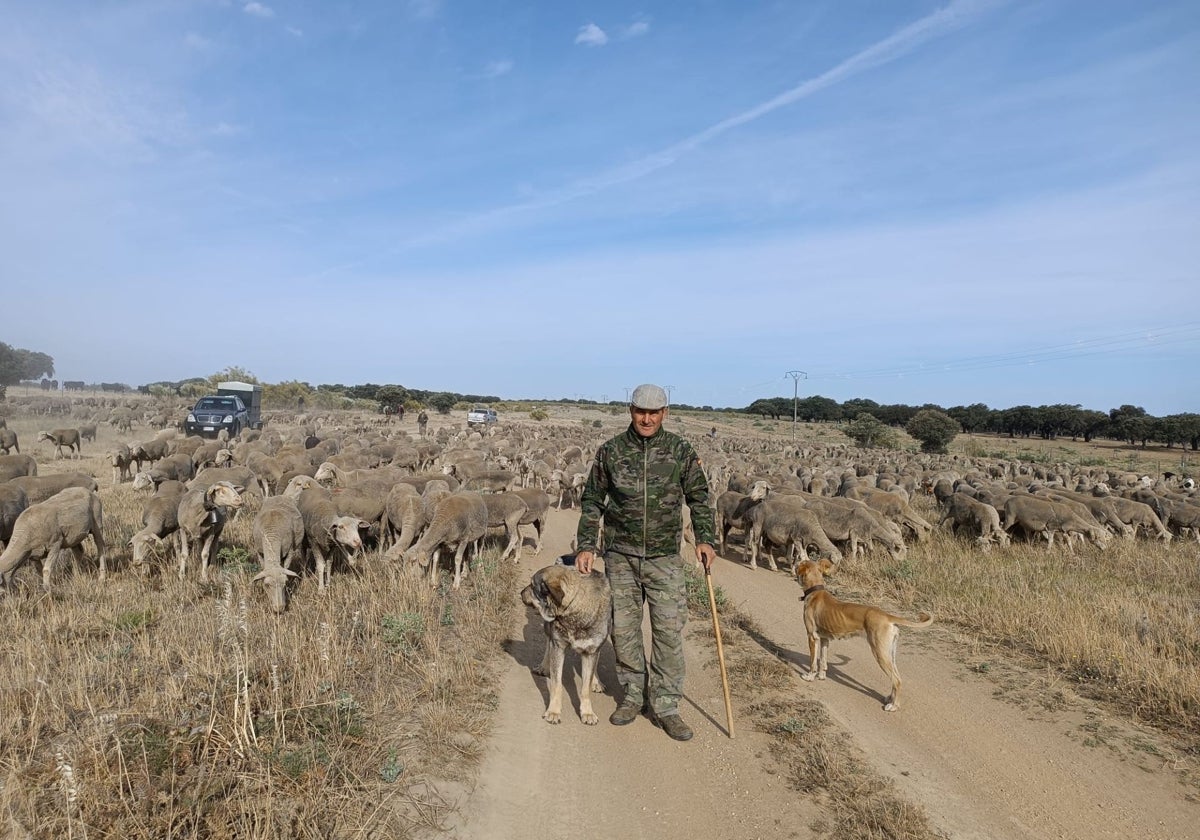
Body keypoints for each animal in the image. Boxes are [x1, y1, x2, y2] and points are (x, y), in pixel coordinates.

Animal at [518, 568, 609, 724]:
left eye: (532, 585)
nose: (521, 592)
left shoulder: (591, 651)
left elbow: (585, 688)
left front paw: (588, 713)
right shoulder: (558, 646)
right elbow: (556, 684)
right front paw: (553, 712)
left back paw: (596, 682)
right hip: (549, 628)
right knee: (548, 643)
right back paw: (543, 667)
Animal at [801, 556, 931, 710]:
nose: (795, 564)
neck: (815, 591)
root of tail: (887, 616)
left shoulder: (812, 637)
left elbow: (813, 661)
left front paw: (810, 677)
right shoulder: (824, 639)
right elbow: (822, 660)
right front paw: (821, 676)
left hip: (879, 652)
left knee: (896, 680)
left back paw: (893, 706)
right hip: (890, 654)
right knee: (897, 678)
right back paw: (890, 699)